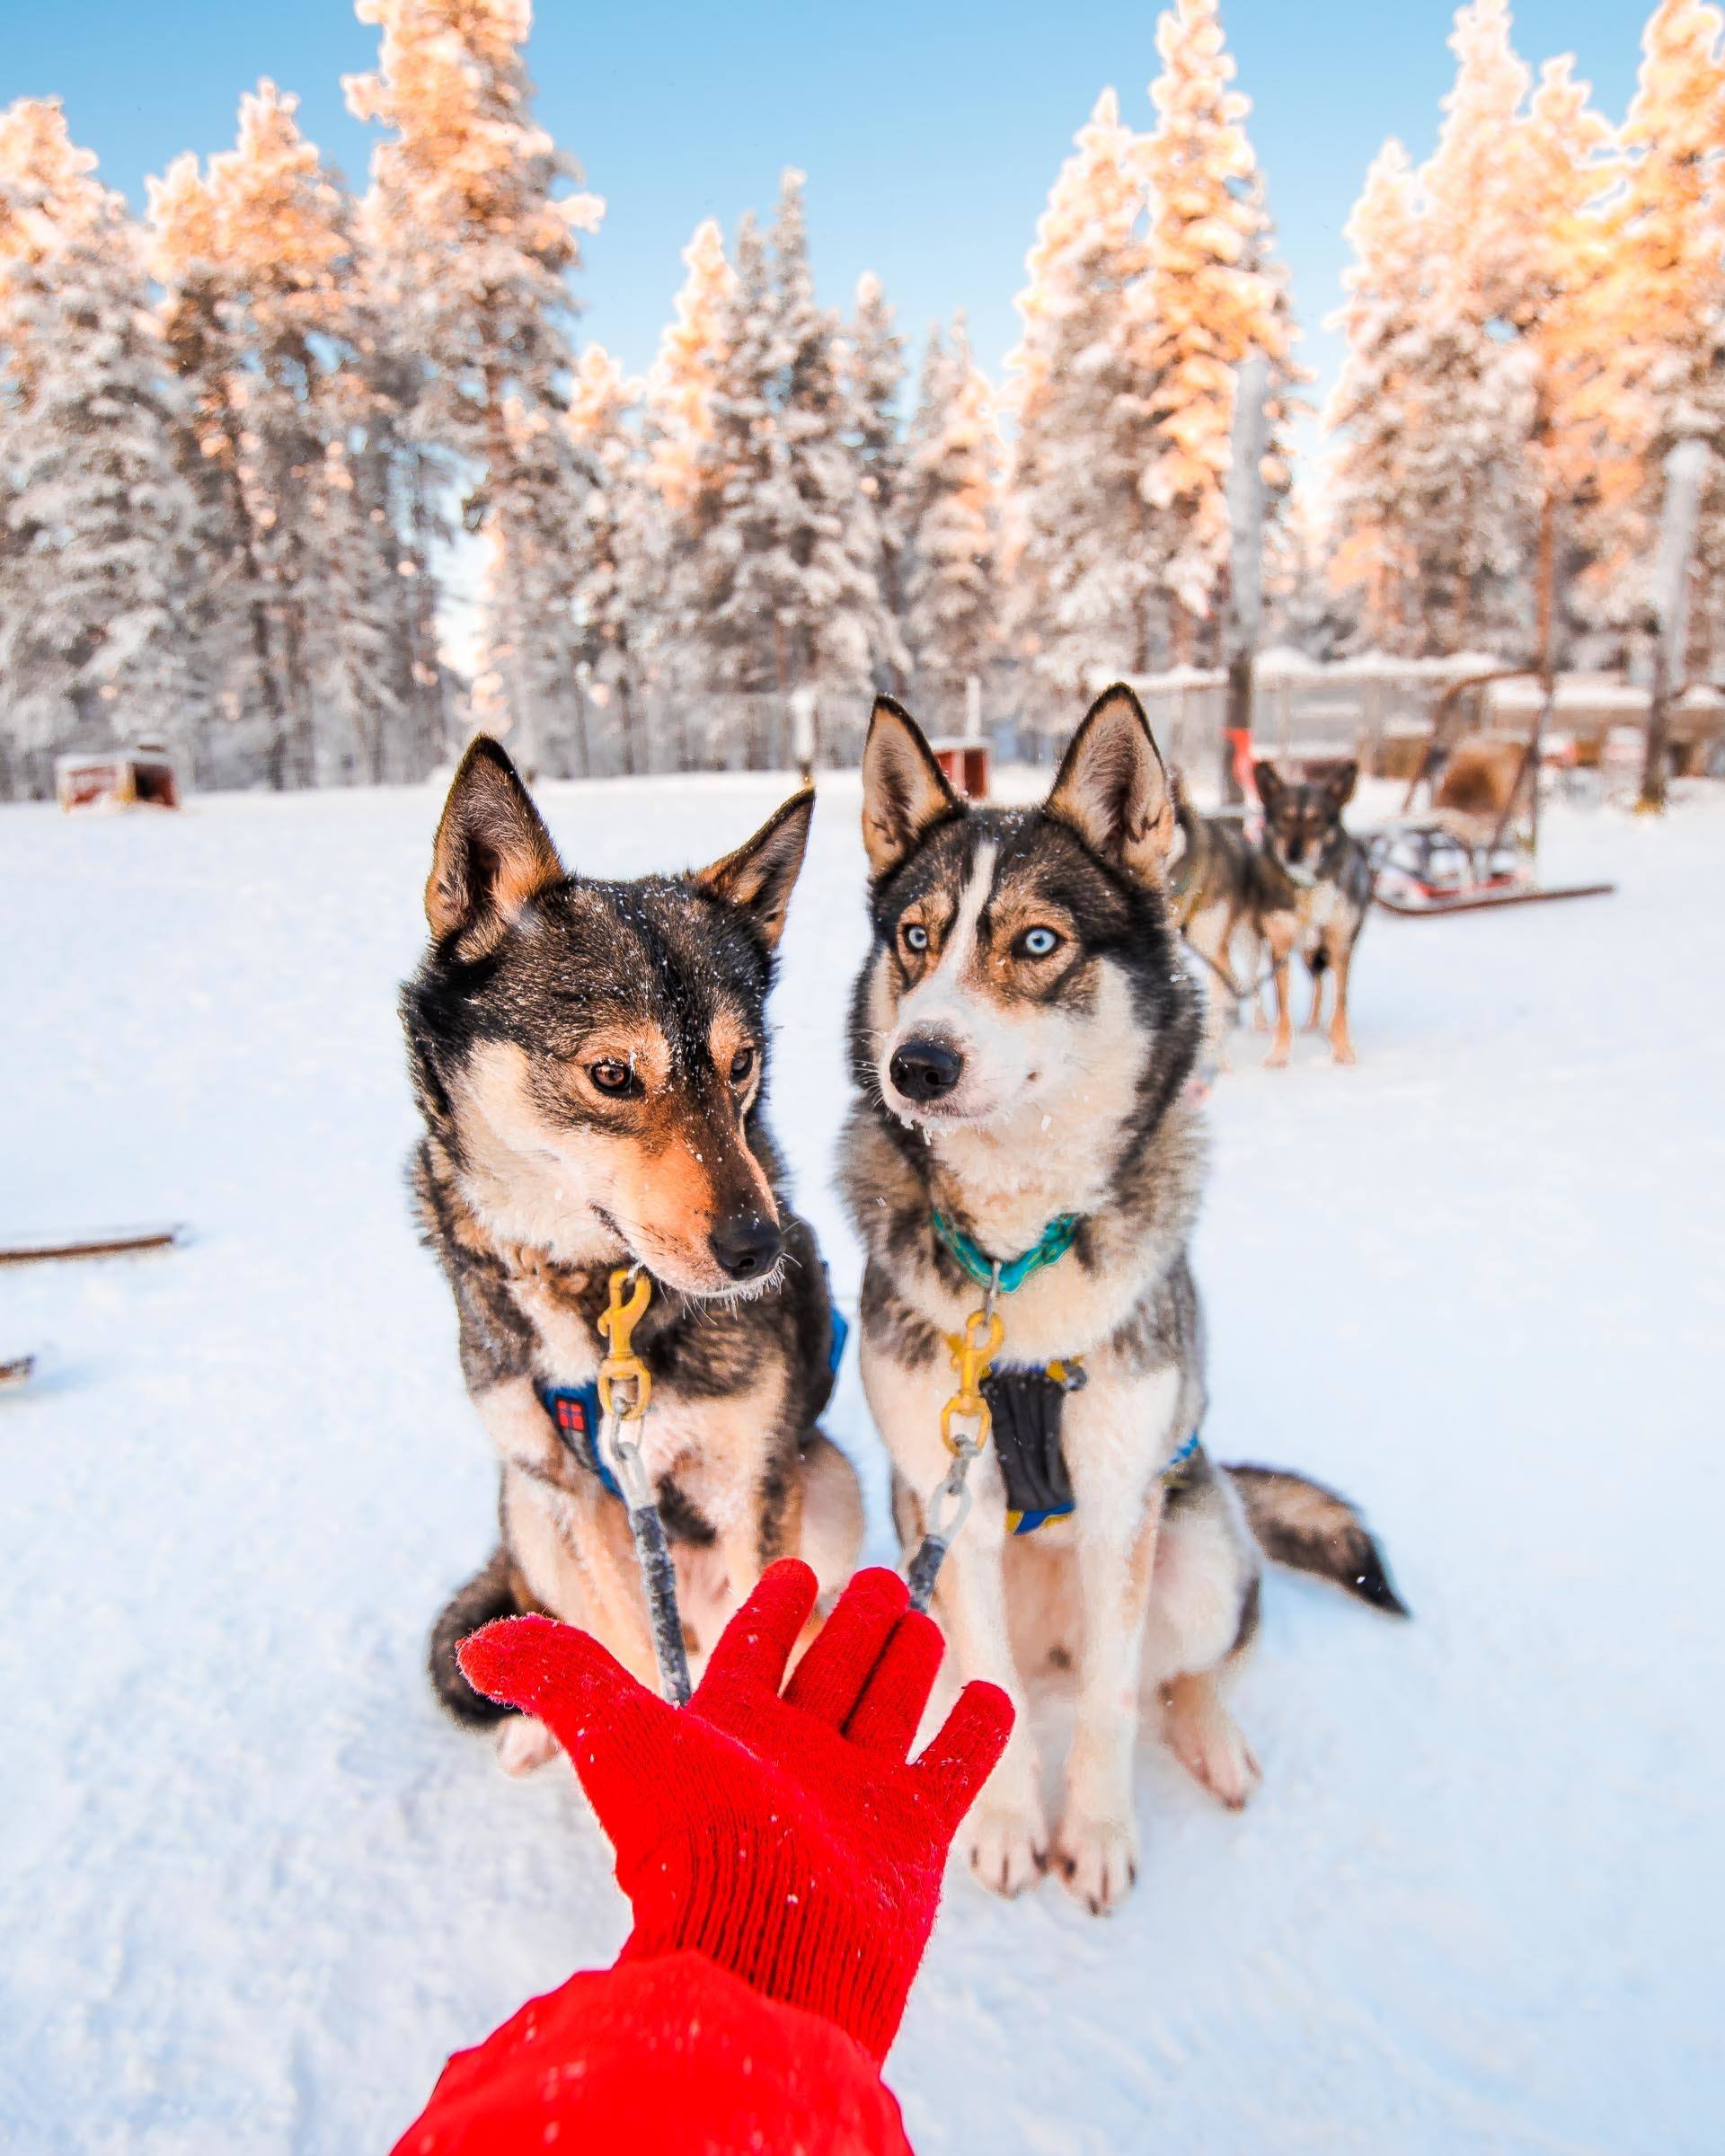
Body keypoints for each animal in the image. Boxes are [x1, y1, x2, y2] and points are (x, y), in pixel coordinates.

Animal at [405, 741, 862, 1768]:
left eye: (741, 1066)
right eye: (612, 1075)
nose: (760, 1248)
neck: (595, 1299)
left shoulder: (751, 1487)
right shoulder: (581, 1499)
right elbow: (620, 1654)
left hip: (826, 1485)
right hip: (527, 1507)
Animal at [836, 681, 1397, 1914]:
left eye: (1037, 942)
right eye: (915, 938)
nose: (917, 1065)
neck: (1015, 1261)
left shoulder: (1115, 1511)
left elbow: (1107, 1700)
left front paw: (1092, 1836)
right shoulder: (954, 1513)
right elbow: (993, 1690)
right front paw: (1005, 1825)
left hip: (1197, 1549)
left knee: (1181, 1671)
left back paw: (1212, 1740)